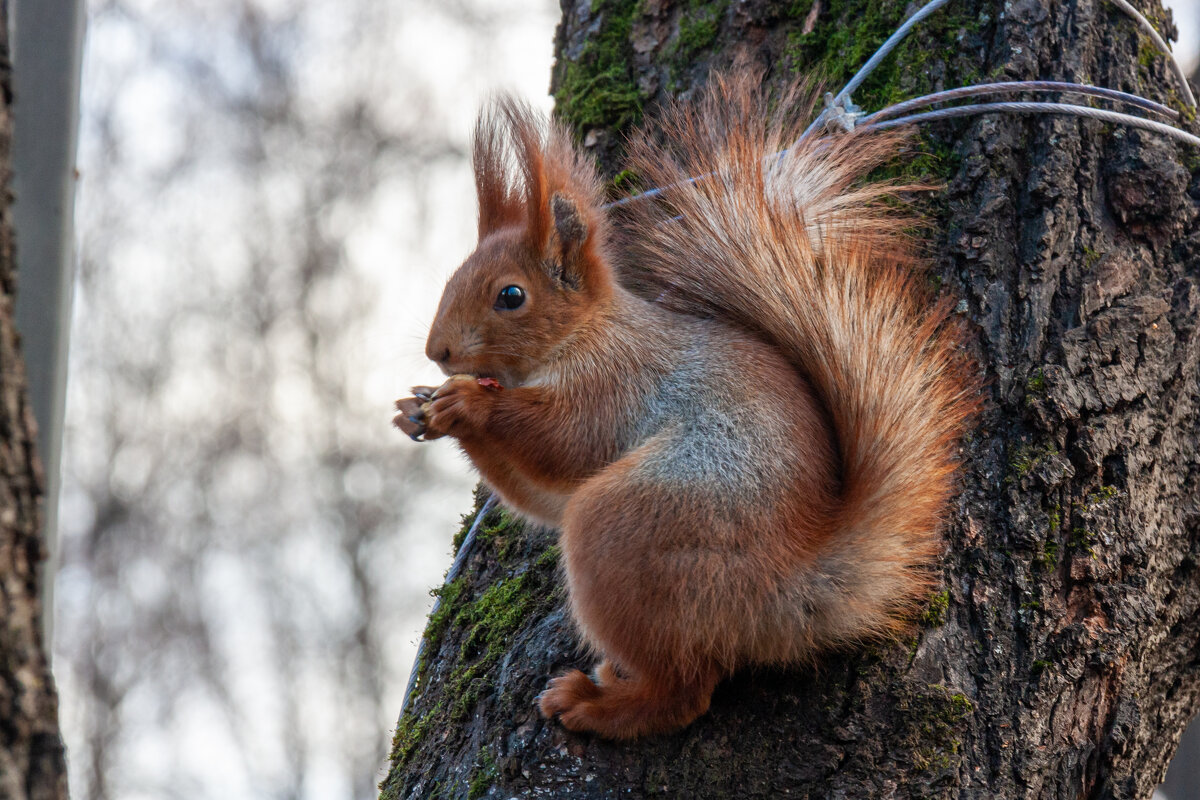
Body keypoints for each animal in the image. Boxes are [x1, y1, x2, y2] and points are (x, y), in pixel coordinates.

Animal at [393, 73, 974, 738]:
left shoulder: (614, 385)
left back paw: (595, 705)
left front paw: (465, 402)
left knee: (684, 692)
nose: (438, 351)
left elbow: (562, 440)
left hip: (628, 531)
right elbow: (537, 496)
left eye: (511, 296)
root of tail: (789, 588)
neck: (587, 335)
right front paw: (416, 410)